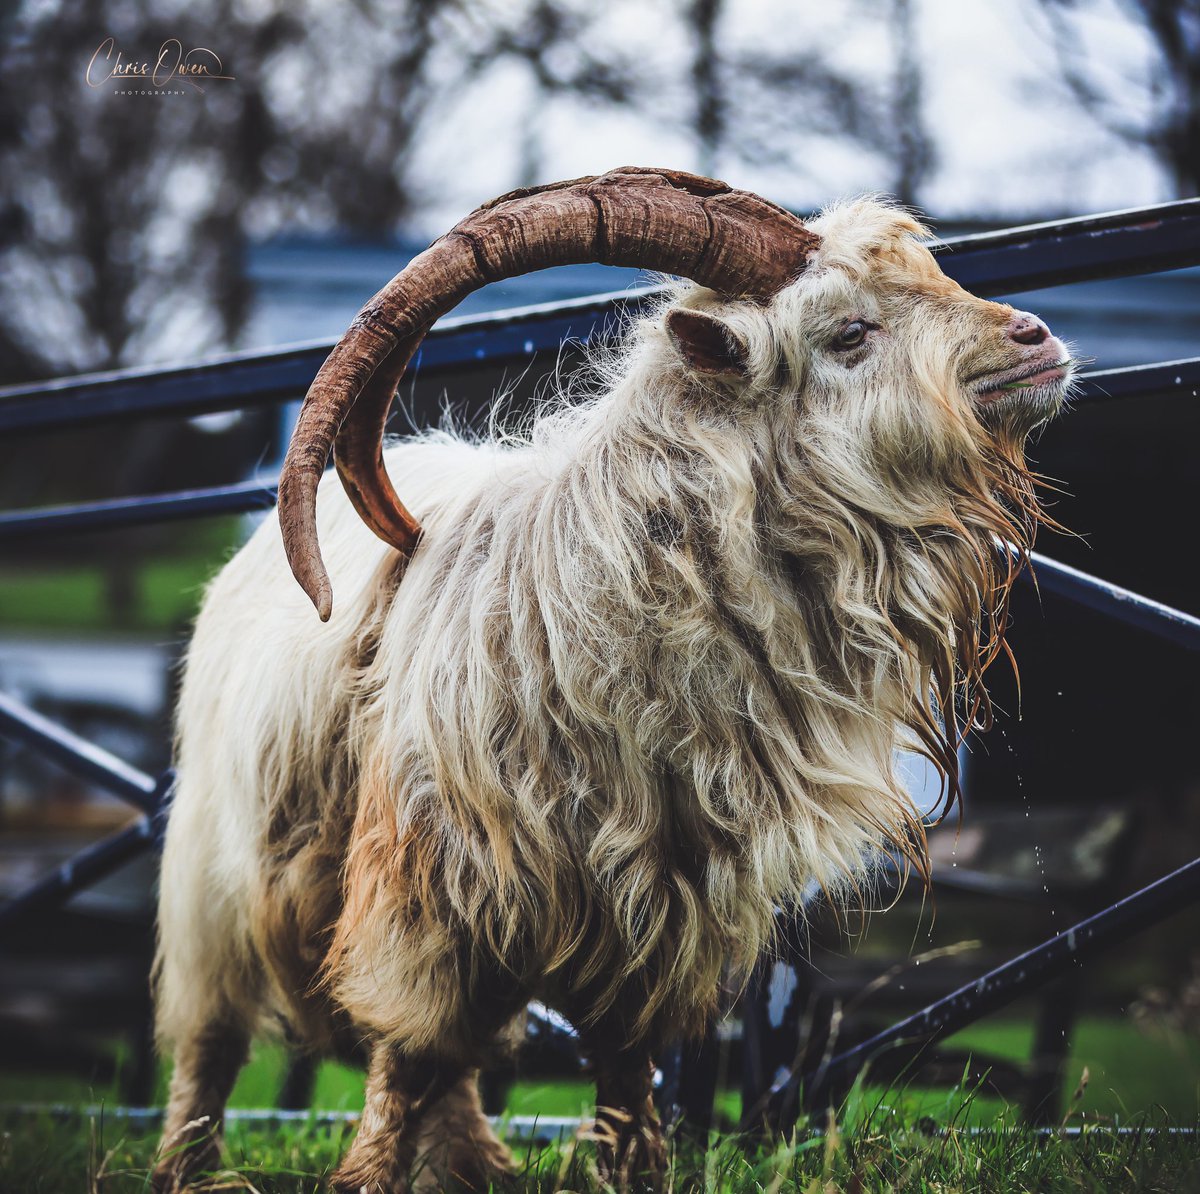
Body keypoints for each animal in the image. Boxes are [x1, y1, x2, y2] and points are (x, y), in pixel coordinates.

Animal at [151, 168, 1072, 1192]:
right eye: (847, 332)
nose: (1036, 339)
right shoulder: (427, 893)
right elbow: (405, 1054)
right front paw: (368, 1179)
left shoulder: (666, 912)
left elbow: (626, 1070)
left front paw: (637, 1172)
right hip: (217, 870)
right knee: (216, 1036)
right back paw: (187, 1166)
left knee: (463, 1059)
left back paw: (469, 1159)